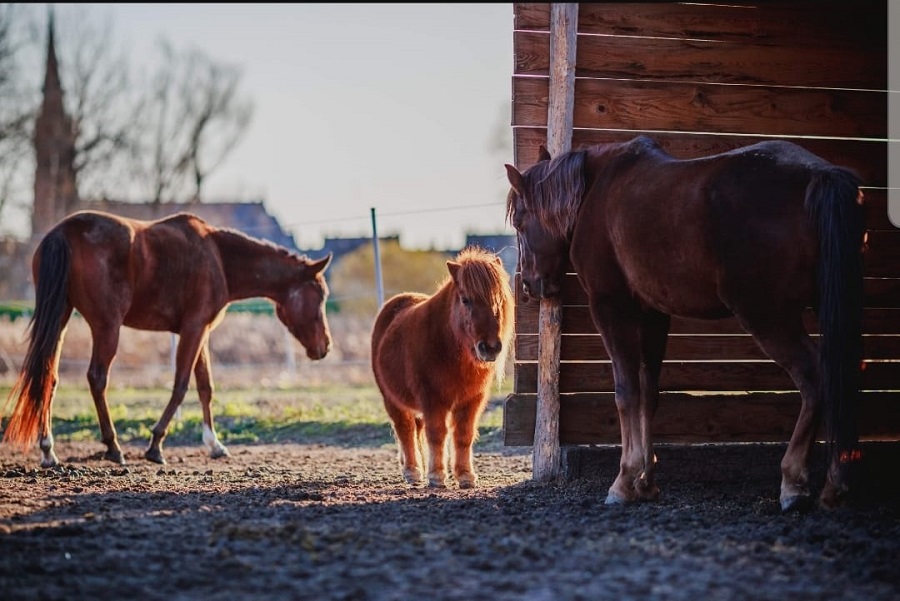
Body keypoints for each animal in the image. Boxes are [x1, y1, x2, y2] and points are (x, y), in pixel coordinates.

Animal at [3, 209, 334, 466]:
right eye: (320, 295)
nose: (325, 347)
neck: (219, 258)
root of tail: (62, 232)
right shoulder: (194, 329)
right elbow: (181, 386)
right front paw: (155, 445)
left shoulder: (201, 332)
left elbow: (205, 387)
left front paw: (214, 444)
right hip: (107, 327)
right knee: (97, 378)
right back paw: (113, 447)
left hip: (60, 319)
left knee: (47, 376)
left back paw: (49, 451)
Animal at [370, 246, 512, 486]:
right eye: (465, 300)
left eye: (498, 299)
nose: (490, 347)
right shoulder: (432, 399)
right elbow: (437, 434)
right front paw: (436, 476)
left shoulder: (472, 400)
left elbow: (464, 435)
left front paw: (465, 475)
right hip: (391, 399)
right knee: (405, 429)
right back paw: (412, 471)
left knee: (416, 429)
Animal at [506, 137, 864, 510]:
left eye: (520, 221)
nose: (530, 285)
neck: (597, 189)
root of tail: (821, 175)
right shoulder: (653, 314)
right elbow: (649, 393)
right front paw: (646, 481)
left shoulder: (611, 307)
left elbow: (626, 392)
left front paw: (624, 481)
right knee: (840, 374)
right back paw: (835, 483)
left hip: (769, 316)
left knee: (815, 377)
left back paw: (793, 481)